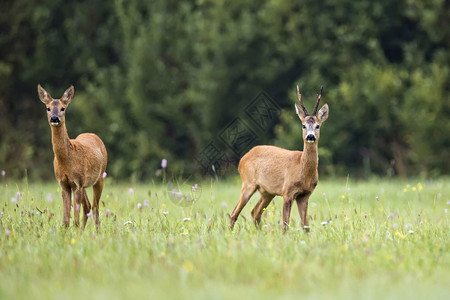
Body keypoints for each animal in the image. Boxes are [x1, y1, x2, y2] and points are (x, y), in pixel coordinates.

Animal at [37, 84, 107, 230]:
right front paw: (67, 233)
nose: (54, 118)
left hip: (100, 177)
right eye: (48, 108)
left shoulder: (77, 183)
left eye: (63, 108)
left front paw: (75, 232)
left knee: (95, 207)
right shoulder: (63, 183)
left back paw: (97, 232)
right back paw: (83, 231)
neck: (67, 160)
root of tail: (94, 135)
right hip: (85, 184)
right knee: (88, 206)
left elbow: (75, 219)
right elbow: (66, 220)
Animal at [230, 86, 328, 232]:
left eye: (318, 126)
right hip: (248, 183)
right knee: (234, 213)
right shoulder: (287, 191)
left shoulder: (305, 195)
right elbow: (285, 223)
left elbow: (305, 225)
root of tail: (242, 159)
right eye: (303, 125)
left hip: (267, 192)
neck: (302, 169)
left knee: (255, 212)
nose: (310, 136)